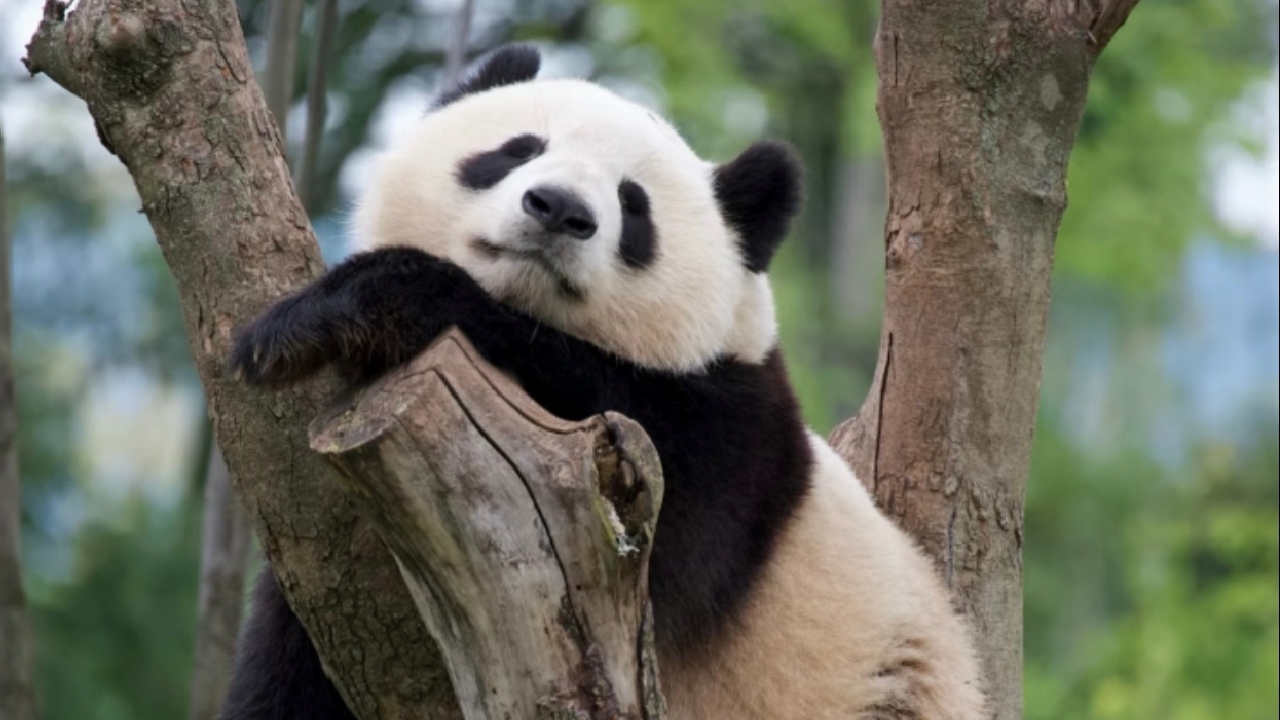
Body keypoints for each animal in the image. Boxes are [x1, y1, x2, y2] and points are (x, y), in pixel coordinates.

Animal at [222, 45, 984, 720]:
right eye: (517, 149)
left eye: (633, 204)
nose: (559, 208)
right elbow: (288, 672)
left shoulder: (727, 452)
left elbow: (665, 529)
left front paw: (340, 312)